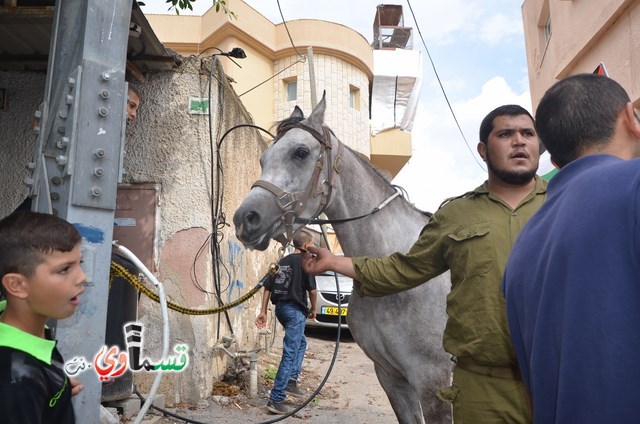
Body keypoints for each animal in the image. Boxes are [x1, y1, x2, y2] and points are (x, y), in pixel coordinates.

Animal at [234, 97, 450, 424]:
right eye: (263, 159)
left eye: (300, 152)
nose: (245, 220)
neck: (398, 270)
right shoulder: (391, 377)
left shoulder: (434, 383)